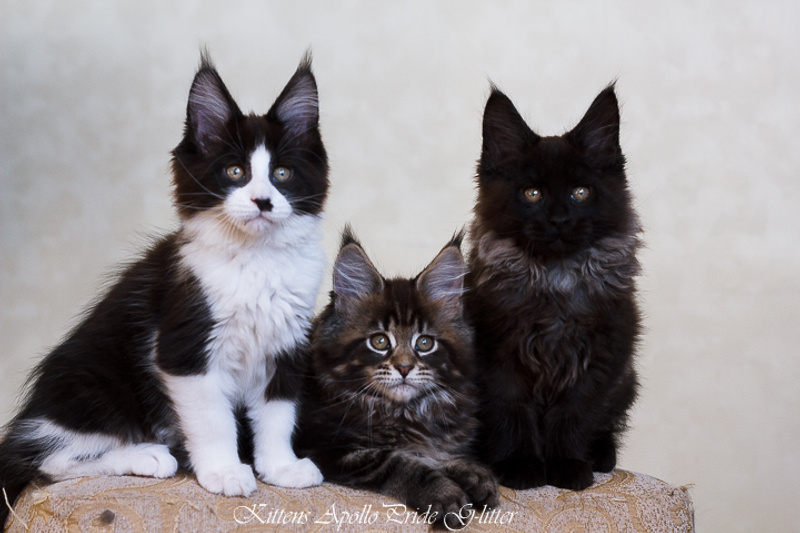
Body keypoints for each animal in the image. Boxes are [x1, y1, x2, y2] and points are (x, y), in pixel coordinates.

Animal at [0, 51, 328, 527]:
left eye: (282, 174)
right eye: (235, 172)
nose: (263, 202)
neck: (257, 260)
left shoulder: (287, 341)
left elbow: (278, 411)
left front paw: (280, 467)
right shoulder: (184, 346)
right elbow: (213, 420)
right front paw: (225, 472)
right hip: (95, 385)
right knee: (45, 461)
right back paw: (147, 455)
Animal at [294, 228, 498, 529]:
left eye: (424, 343)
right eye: (379, 341)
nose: (404, 367)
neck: (406, 411)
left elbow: (439, 452)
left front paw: (473, 472)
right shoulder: (328, 448)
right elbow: (401, 462)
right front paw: (444, 492)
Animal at [466, 84, 641, 491]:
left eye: (581, 192)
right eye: (532, 194)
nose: (560, 220)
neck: (555, 278)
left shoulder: (602, 358)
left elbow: (574, 415)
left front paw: (567, 466)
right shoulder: (496, 357)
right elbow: (512, 412)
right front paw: (520, 466)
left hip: (626, 382)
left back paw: (600, 456)